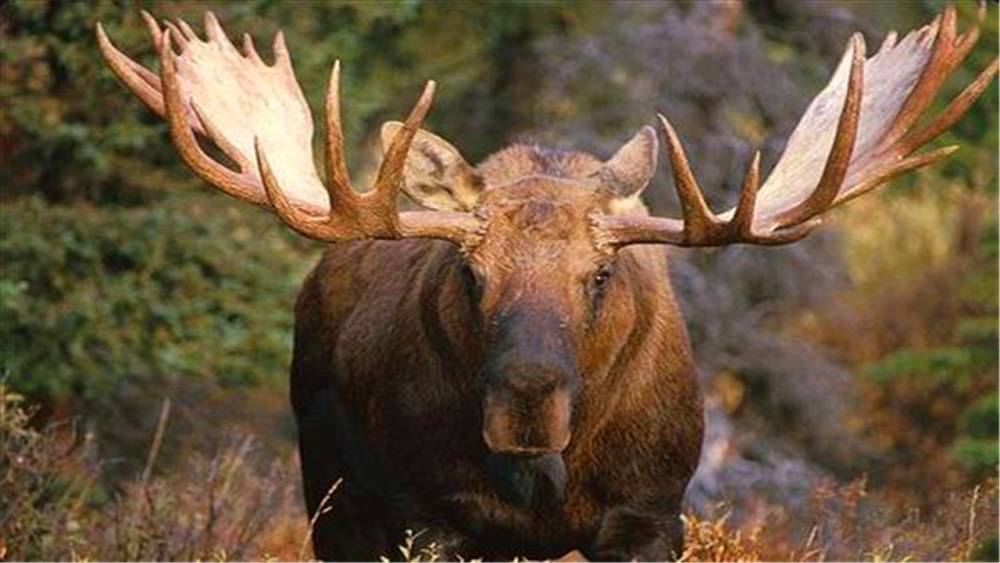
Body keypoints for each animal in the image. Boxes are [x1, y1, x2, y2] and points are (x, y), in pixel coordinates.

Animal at [96, 7, 996, 561]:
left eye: (599, 273)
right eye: (471, 271)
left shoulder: (649, 516)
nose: (526, 398)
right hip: (331, 492)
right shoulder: (429, 520)